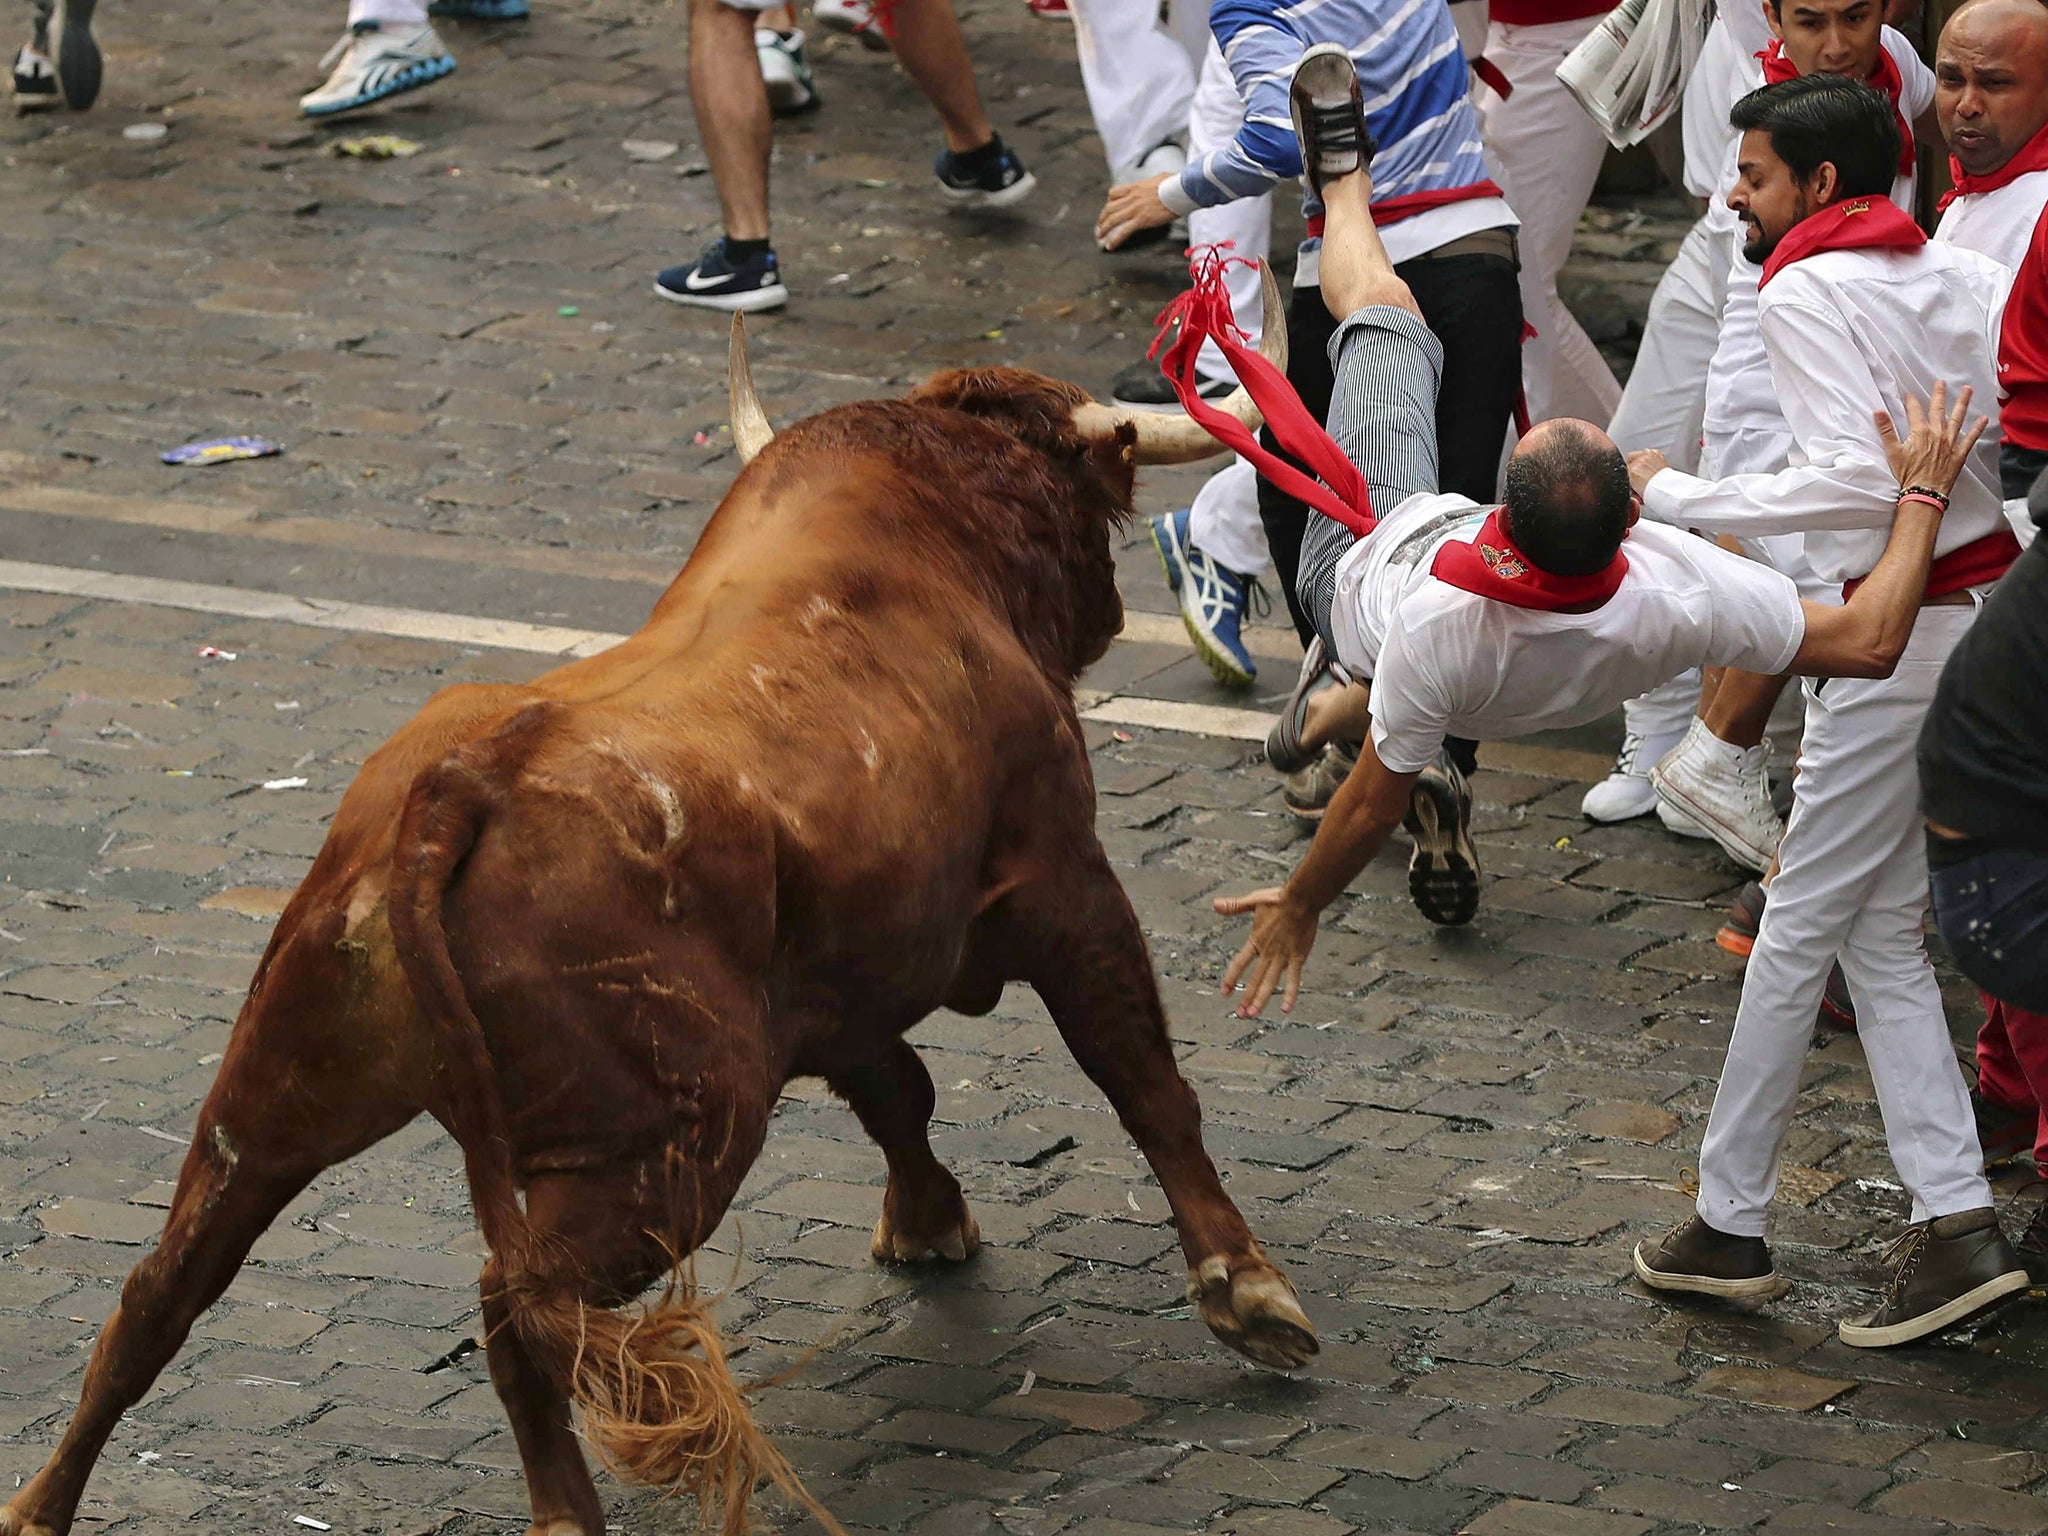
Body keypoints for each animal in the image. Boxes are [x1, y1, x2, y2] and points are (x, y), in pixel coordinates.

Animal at [0, 290, 1310, 1536]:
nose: (1107, 610)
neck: (930, 545)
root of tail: (459, 781)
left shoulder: (832, 989)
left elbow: (900, 1091)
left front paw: (926, 1222)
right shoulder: (1065, 886)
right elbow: (1140, 1080)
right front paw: (1245, 1292)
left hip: (278, 1095)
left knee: (161, 1292)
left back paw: (41, 1505)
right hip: (678, 1138)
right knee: (518, 1302)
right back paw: (563, 1511)